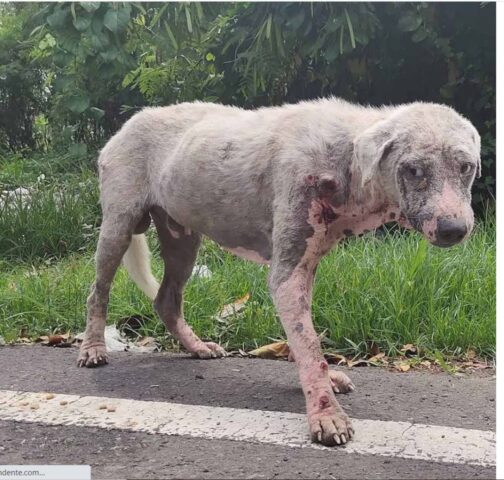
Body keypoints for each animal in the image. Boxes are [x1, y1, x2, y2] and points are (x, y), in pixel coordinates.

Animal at [78, 97, 480, 446]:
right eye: (413, 170)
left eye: (467, 167)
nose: (454, 229)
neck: (344, 161)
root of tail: (126, 125)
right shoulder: (288, 273)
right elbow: (310, 344)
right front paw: (326, 415)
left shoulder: (305, 266)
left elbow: (304, 340)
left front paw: (322, 380)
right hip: (117, 227)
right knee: (98, 291)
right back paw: (93, 348)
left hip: (182, 240)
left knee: (166, 300)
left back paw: (196, 346)